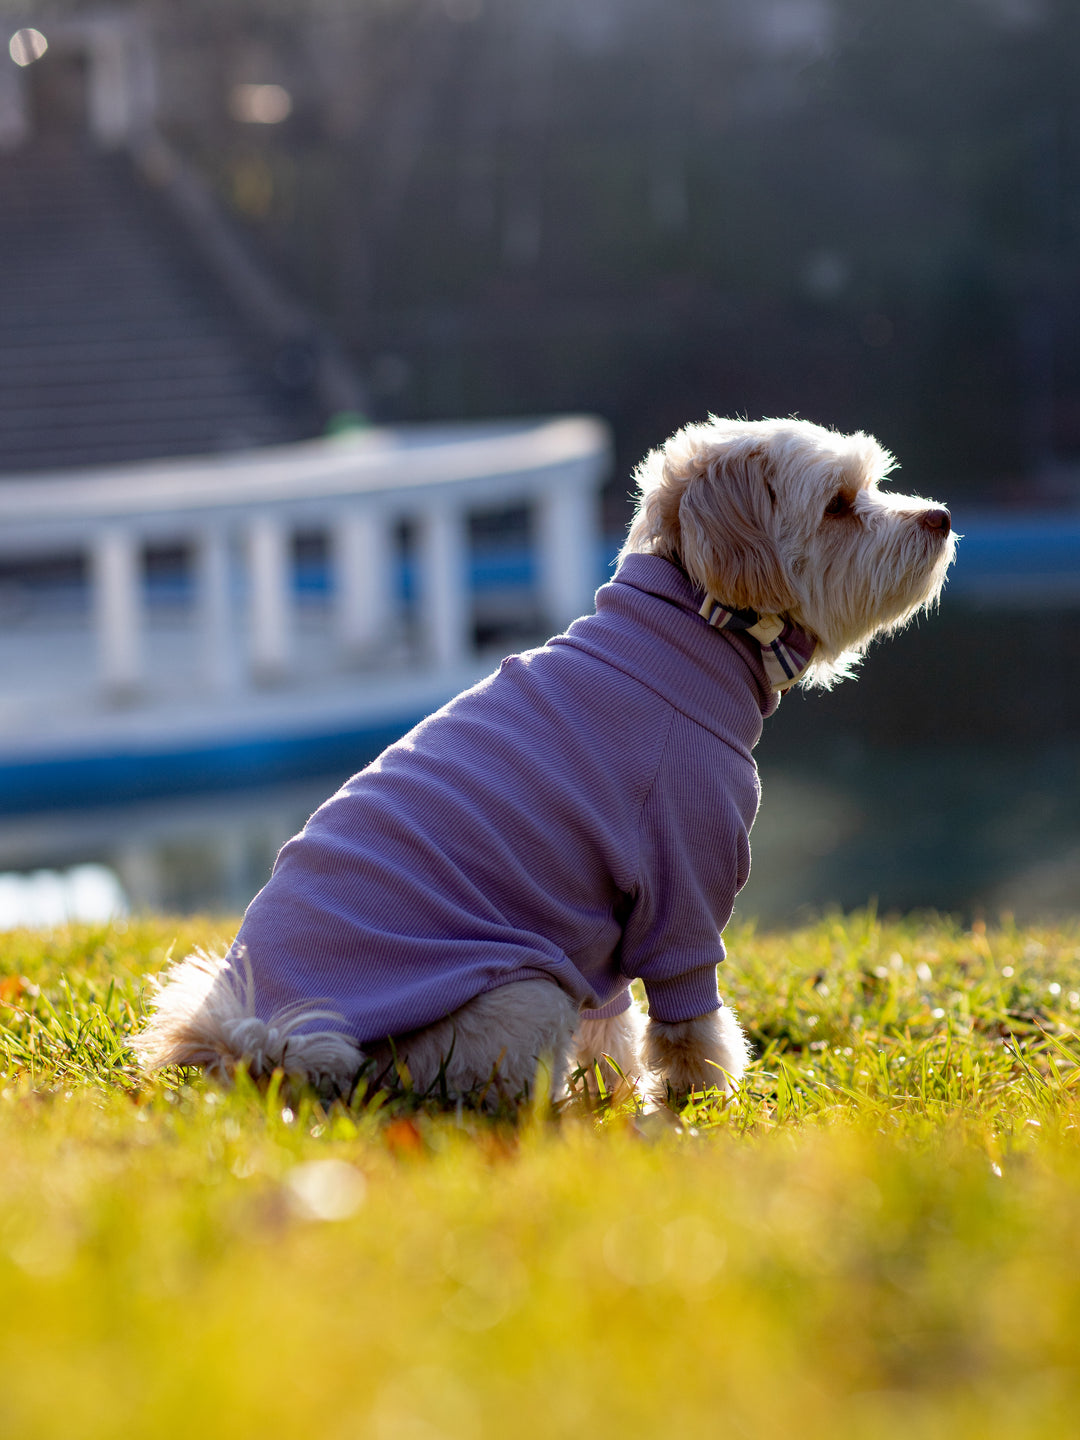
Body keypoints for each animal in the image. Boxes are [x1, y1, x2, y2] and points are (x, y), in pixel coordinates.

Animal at [135, 420, 956, 1105]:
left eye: (871, 486)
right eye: (840, 505)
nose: (941, 517)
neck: (692, 630)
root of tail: (262, 1045)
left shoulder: (600, 922)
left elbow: (615, 1020)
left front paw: (622, 1089)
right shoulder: (682, 884)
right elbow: (689, 1020)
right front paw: (699, 1096)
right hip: (522, 994)